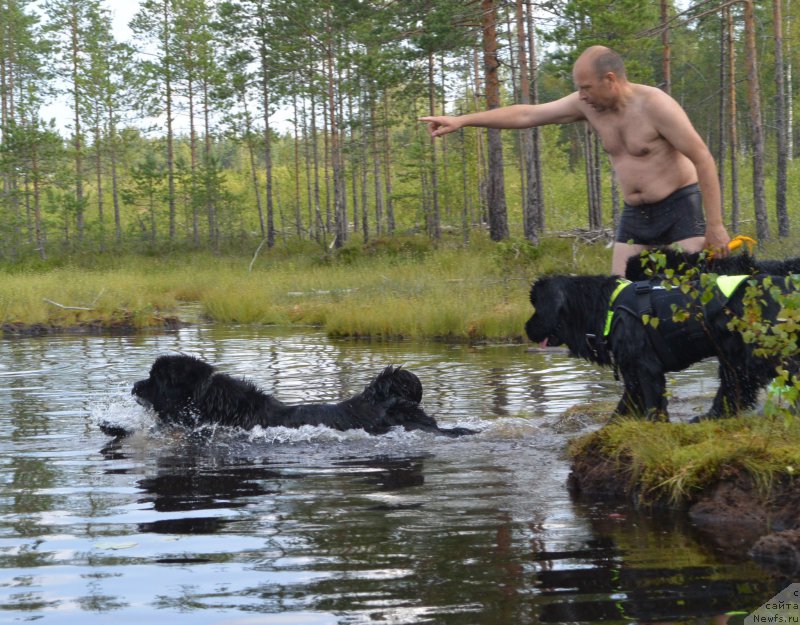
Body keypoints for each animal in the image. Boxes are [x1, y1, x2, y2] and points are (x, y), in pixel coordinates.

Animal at [524, 272, 800, 420]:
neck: (607, 307)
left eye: (537, 306)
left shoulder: (645, 368)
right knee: (735, 389)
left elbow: (653, 404)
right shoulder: (633, 374)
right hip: (735, 355)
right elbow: (624, 407)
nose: (526, 328)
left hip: (763, 351)